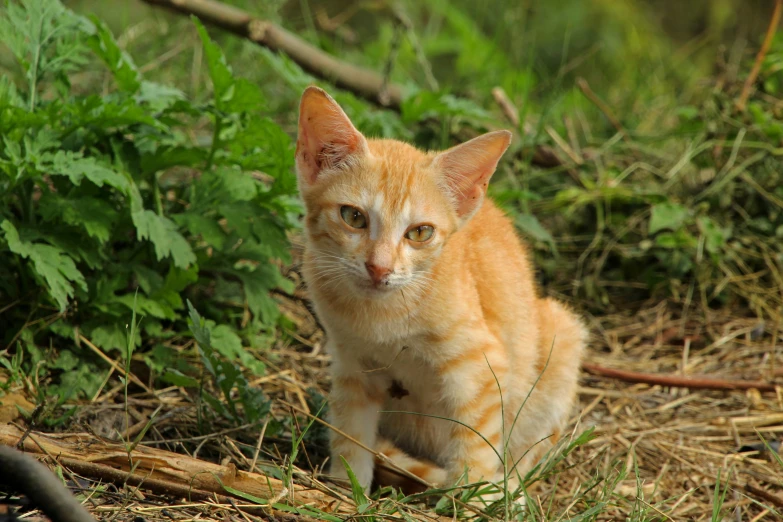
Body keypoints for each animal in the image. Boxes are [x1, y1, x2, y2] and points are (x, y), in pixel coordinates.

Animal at [296, 86, 588, 496]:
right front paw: (346, 488)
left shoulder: (482, 369)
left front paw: (475, 498)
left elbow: (476, 444)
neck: (379, 316)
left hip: (563, 336)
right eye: (353, 217)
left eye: (420, 232)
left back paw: (509, 491)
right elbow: (350, 431)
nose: (379, 268)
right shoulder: (351, 361)